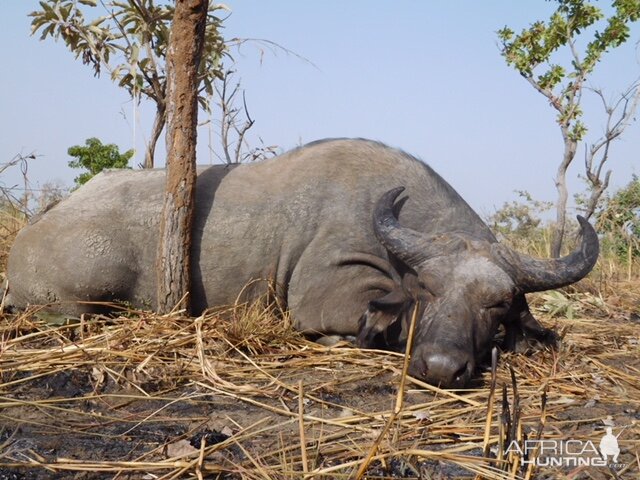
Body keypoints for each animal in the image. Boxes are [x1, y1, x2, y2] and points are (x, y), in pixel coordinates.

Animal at [6, 138, 600, 386]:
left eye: (497, 303)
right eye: (426, 291)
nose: (440, 368)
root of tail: (31, 233)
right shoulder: (327, 295)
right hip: (81, 299)